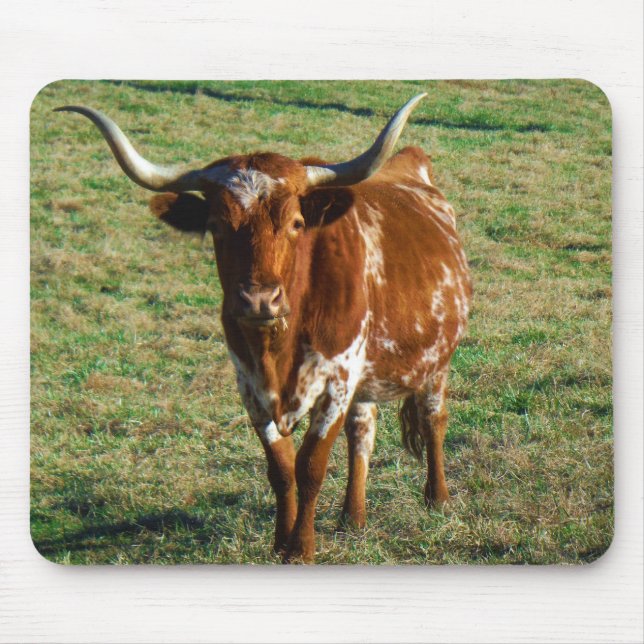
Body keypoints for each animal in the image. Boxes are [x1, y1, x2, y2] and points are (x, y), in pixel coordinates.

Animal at [56, 93, 472, 563]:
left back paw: (437, 498)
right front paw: (279, 542)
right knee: (362, 431)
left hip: (436, 361)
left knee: (433, 417)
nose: (258, 300)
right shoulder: (251, 388)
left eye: (296, 223)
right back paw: (352, 517)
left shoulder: (337, 382)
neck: (279, 346)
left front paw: (301, 549)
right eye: (216, 226)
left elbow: (310, 467)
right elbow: (282, 469)